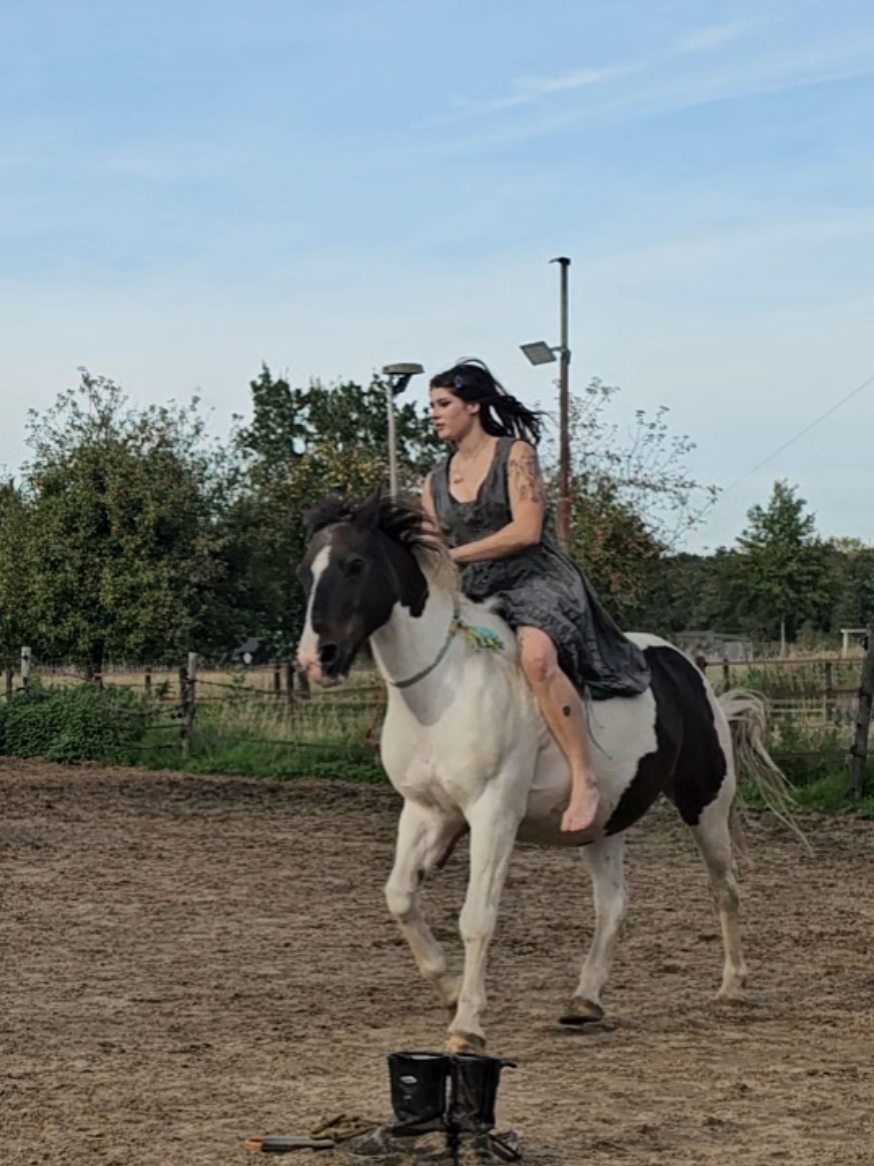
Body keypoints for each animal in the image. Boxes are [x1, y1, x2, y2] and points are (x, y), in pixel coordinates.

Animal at [297, 493, 793, 1054]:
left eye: (355, 565)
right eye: (305, 572)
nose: (318, 660)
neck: (444, 688)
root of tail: (688, 671)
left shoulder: (493, 815)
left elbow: (477, 917)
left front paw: (467, 1025)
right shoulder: (424, 812)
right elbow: (401, 896)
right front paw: (449, 991)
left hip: (705, 803)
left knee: (724, 888)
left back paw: (731, 988)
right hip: (603, 822)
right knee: (612, 905)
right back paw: (585, 1000)